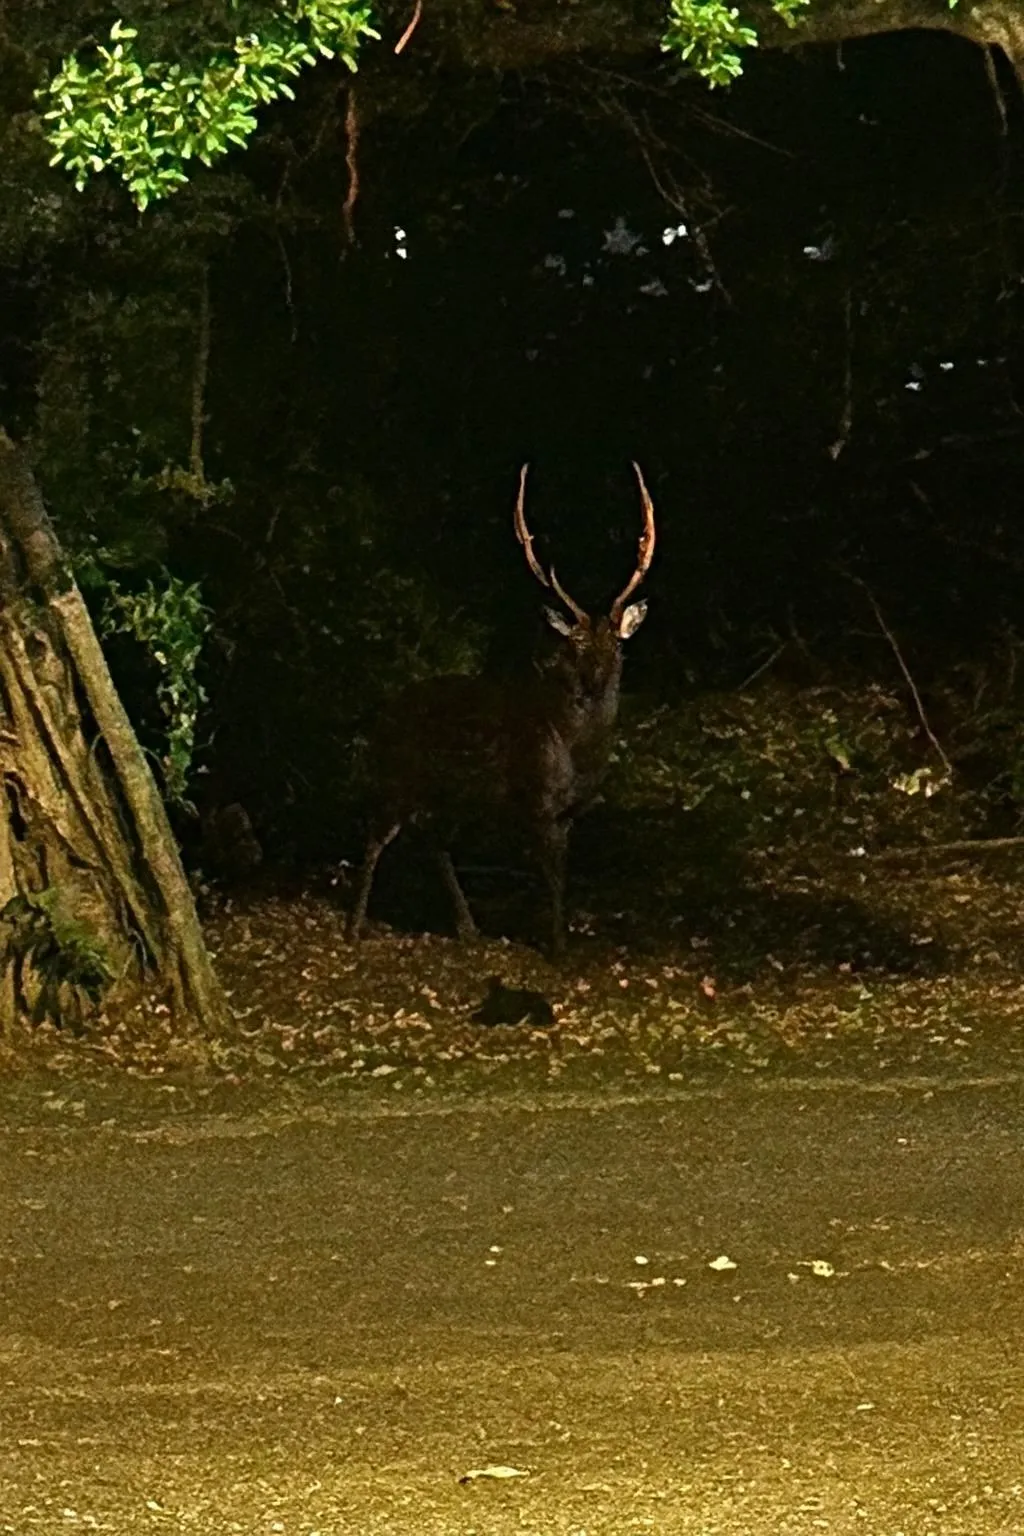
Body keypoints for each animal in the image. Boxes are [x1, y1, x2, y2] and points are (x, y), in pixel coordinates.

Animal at [346, 463, 656, 956]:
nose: (597, 680)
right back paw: (355, 926)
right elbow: (549, 877)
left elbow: (562, 875)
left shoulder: (570, 812)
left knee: (433, 840)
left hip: (453, 794)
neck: (578, 752)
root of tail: (383, 713)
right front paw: (557, 946)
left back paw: (467, 927)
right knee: (377, 835)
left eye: (617, 647)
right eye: (575, 647)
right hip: (399, 774)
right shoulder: (537, 800)